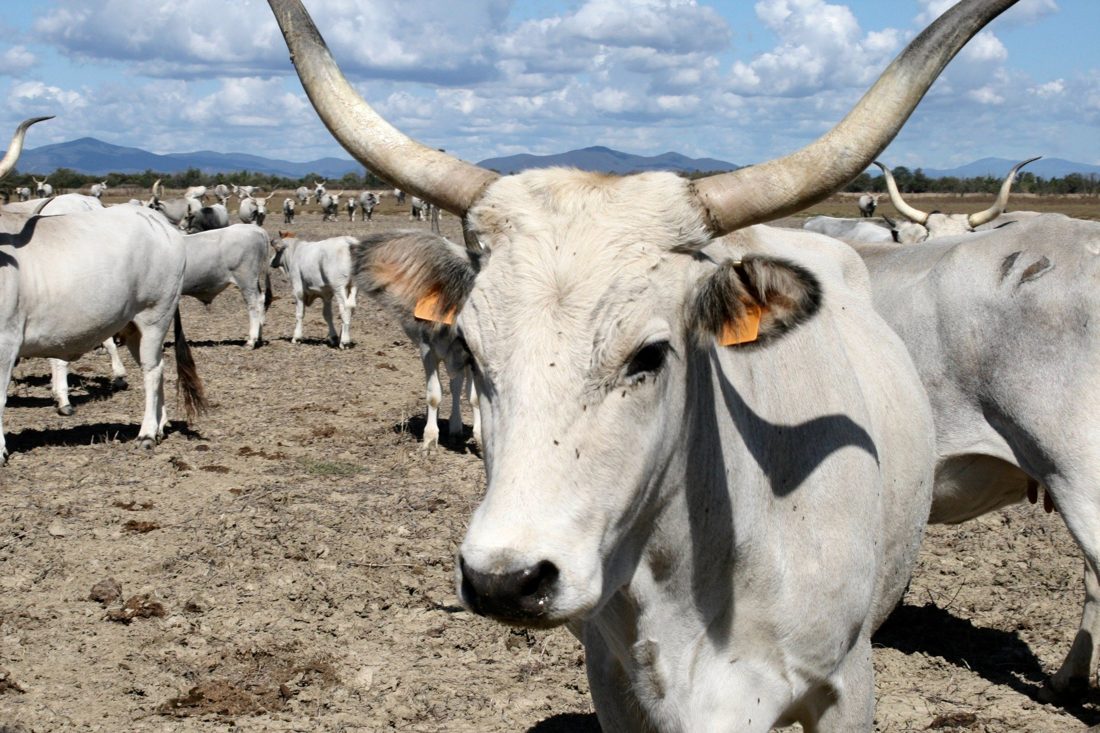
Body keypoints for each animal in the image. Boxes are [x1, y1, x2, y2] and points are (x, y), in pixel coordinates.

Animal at [0, 117, 206, 463]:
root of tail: (161, 226)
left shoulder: (5, 342)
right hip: (132, 325)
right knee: (158, 367)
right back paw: (160, 426)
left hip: (155, 315)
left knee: (152, 369)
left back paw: (147, 434)